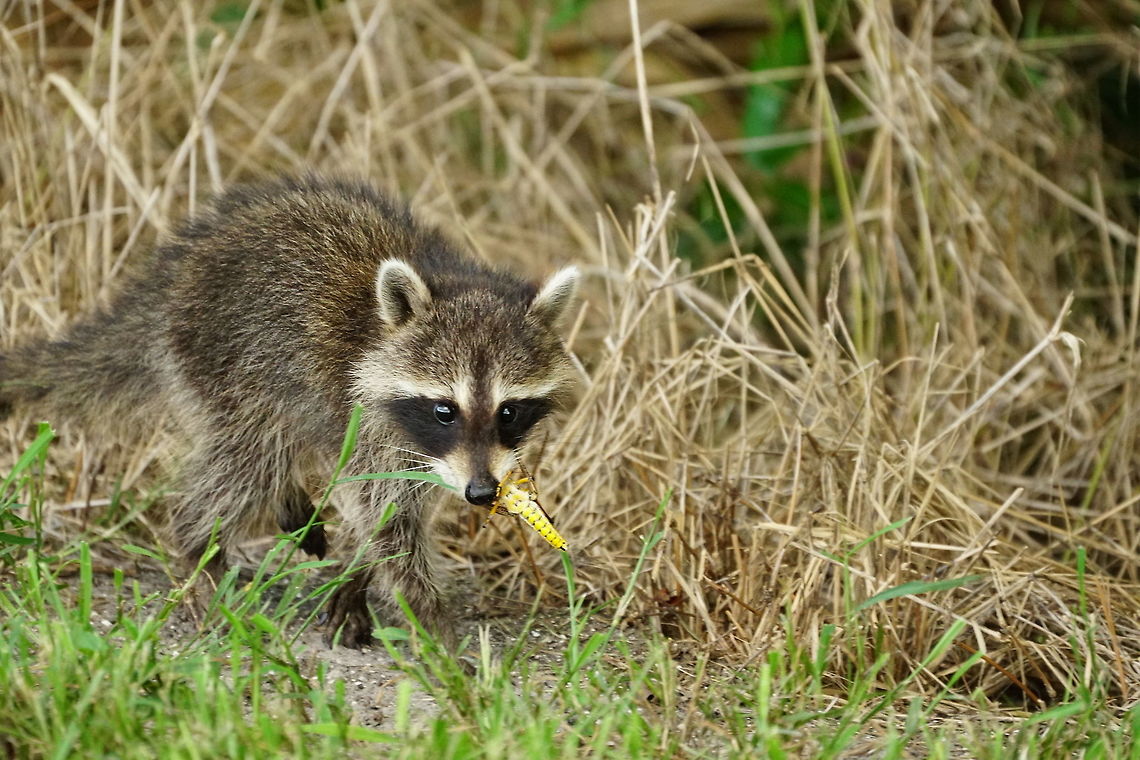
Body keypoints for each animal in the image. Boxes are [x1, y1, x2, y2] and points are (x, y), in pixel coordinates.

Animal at [0, 175, 579, 647]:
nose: (481, 495)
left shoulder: (436, 456)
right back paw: (196, 546)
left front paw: (360, 576)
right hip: (225, 359)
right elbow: (389, 520)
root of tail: (172, 277)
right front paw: (435, 627)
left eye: (508, 412)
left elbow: (394, 511)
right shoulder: (372, 423)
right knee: (248, 460)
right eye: (444, 410)